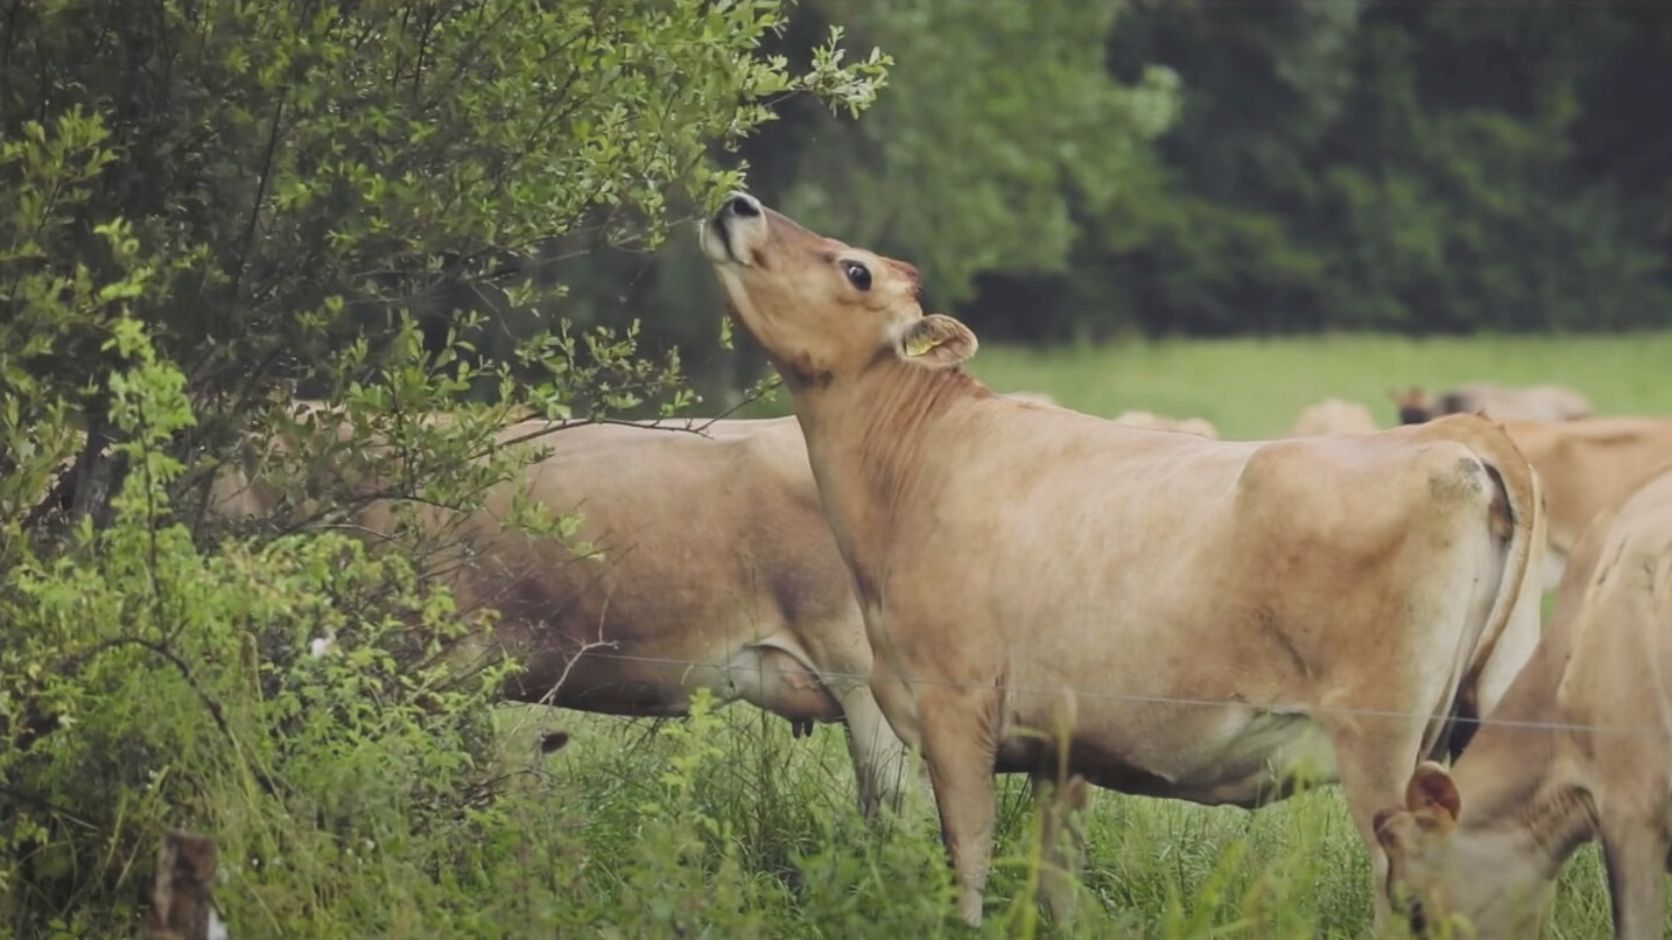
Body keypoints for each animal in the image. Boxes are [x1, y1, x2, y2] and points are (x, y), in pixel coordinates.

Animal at [698, 190, 1544, 923]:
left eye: (856, 270)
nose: (738, 202)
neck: (914, 467)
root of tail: (1457, 439)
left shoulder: (954, 707)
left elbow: (968, 858)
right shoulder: (1060, 747)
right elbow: (1055, 879)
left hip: (1381, 745)